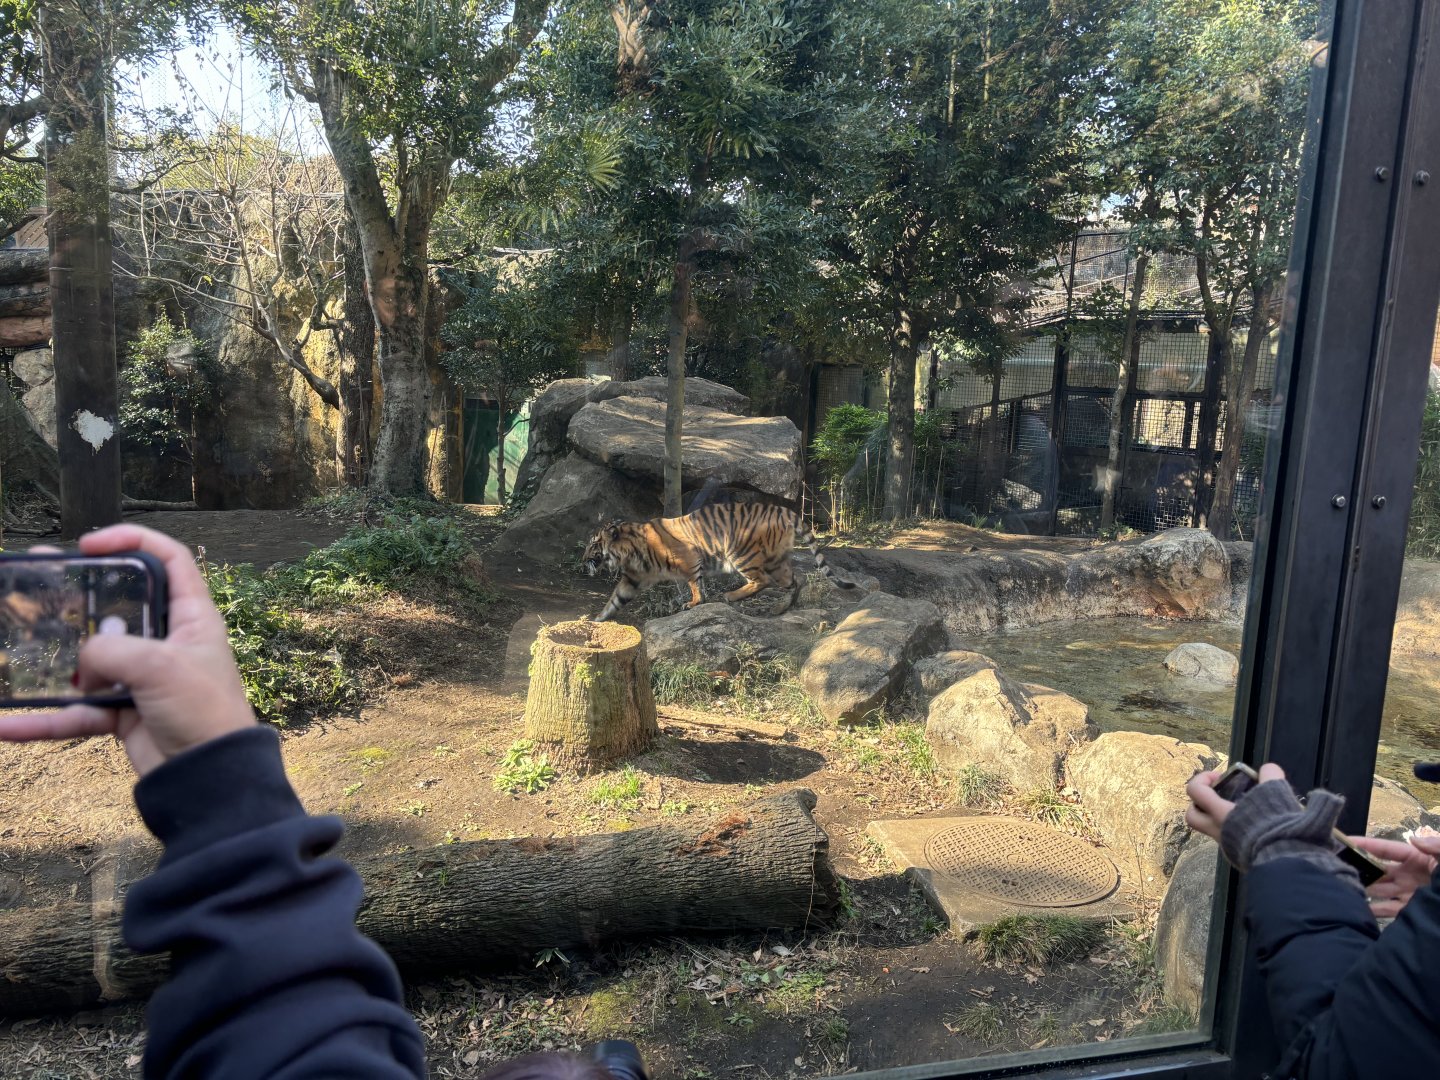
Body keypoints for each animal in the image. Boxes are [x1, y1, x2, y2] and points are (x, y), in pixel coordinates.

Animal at [581, 501, 860, 622]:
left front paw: (694, 603)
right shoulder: (634, 579)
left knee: (762, 580)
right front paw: (597, 621)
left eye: (593, 544)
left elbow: (695, 583)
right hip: (777, 559)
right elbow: (614, 600)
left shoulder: (689, 557)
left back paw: (731, 596)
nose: (583, 560)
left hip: (741, 552)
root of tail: (784, 510)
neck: (630, 552)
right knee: (796, 579)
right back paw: (781, 609)